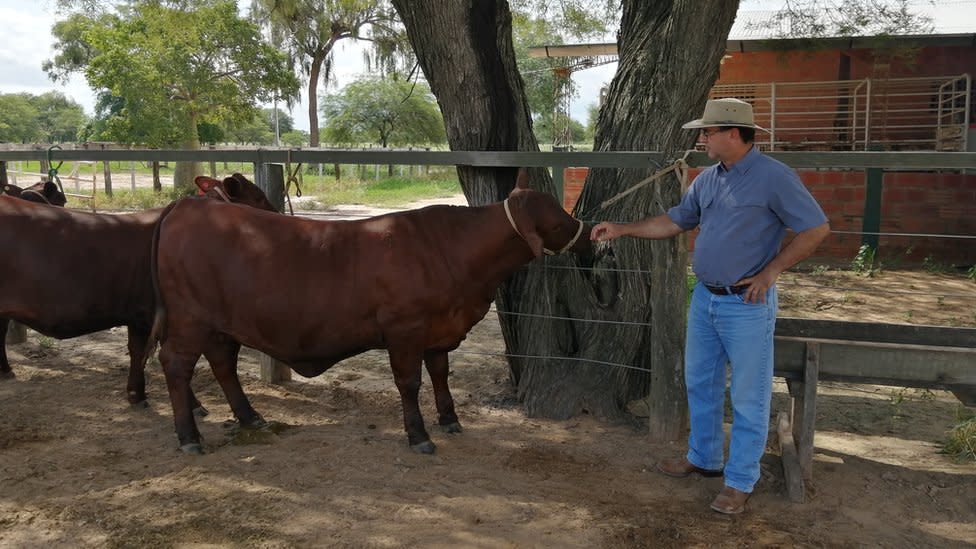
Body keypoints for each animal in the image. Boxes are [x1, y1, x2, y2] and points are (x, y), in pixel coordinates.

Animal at [0, 176, 274, 412]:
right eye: (259, 198)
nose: (277, 214)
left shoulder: (141, 316)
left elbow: (137, 352)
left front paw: (136, 394)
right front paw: (193, 404)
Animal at [149, 168, 592, 454]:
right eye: (557, 219)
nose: (588, 235)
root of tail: (185, 207)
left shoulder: (439, 329)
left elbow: (440, 373)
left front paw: (450, 419)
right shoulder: (405, 329)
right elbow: (409, 382)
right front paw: (419, 436)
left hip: (218, 324)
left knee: (222, 363)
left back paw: (250, 418)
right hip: (189, 320)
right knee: (176, 364)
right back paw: (189, 437)